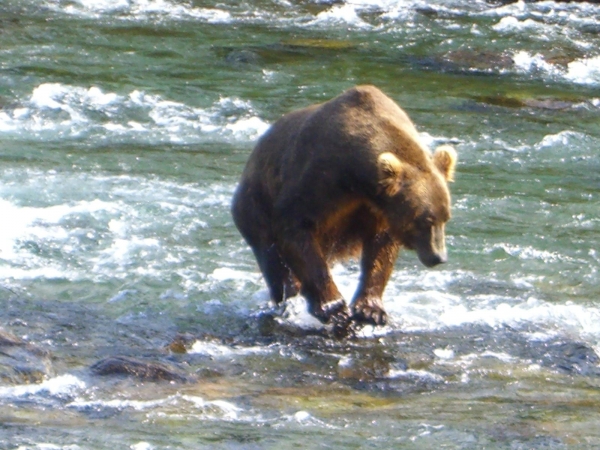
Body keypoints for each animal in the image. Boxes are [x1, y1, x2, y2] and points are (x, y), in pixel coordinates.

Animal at [232, 85, 458, 330]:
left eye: (445, 217)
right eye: (424, 220)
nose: (438, 256)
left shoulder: (377, 209)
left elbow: (380, 250)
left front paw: (371, 310)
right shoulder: (319, 181)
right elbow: (295, 229)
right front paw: (333, 308)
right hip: (255, 204)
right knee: (273, 259)